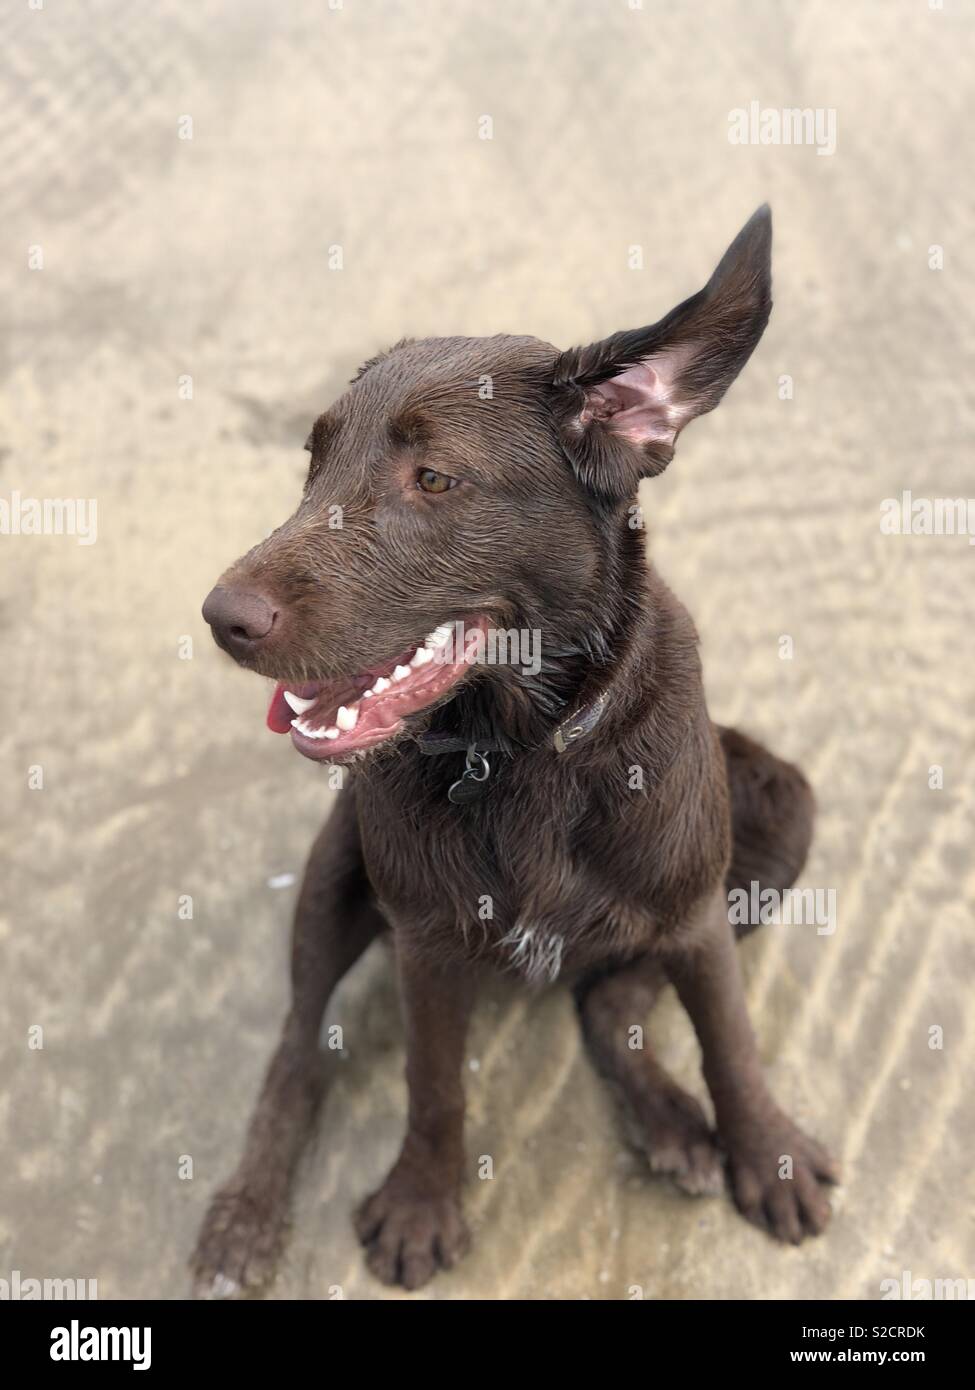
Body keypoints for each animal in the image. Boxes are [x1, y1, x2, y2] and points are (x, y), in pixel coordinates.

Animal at [191, 205, 834, 1289]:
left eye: (434, 478)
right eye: (313, 465)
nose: (221, 619)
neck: (525, 750)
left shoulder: (698, 913)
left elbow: (730, 1044)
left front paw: (765, 1151)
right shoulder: (425, 939)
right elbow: (433, 1085)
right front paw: (421, 1198)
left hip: (776, 810)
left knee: (610, 1002)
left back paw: (670, 1120)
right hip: (335, 863)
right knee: (298, 1047)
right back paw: (246, 1209)